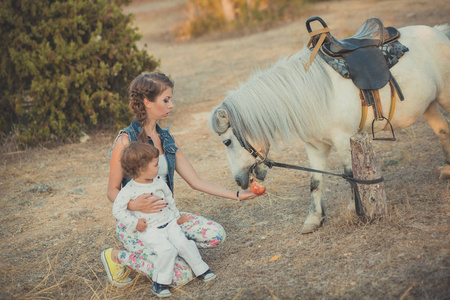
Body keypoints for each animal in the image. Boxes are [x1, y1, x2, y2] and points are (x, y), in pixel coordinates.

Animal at [209, 24, 448, 234]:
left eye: (227, 142)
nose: (239, 181)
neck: (313, 94)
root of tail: (438, 31)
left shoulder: (344, 139)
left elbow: (350, 175)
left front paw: (354, 210)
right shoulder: (315, 147)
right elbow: (315, 182)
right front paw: (314, 219)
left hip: (444, 98)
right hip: (428, 105)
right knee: (443, 130)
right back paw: (446, 169)